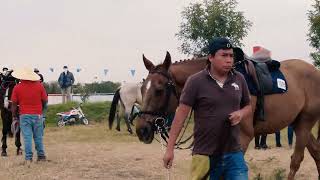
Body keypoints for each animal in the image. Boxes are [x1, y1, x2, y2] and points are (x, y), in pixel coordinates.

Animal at [136, 51, 320, 179]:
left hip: (305, 123)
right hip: (297, 123)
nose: (141, 130)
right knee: (316, 151)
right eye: (142, 88)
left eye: (159, 90)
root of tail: (315, 71)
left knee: (296, 160)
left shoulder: (242, 138)